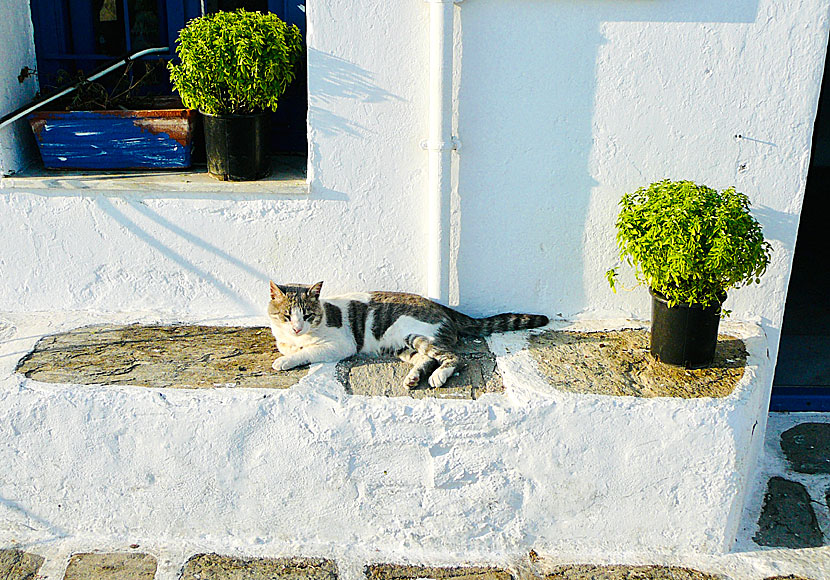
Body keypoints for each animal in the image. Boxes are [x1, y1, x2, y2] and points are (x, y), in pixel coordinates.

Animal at [268, 280, 552, 390]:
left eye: (307, 315)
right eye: (287, 316)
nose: (297, 328)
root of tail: (444, 308)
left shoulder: (340, 345)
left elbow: (307, 351)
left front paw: (285, 360)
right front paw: (288, 351)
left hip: (416, 335)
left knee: (453, 357)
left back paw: (438, 376)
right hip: (400, 346)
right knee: (425, 359)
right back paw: (414, 377)